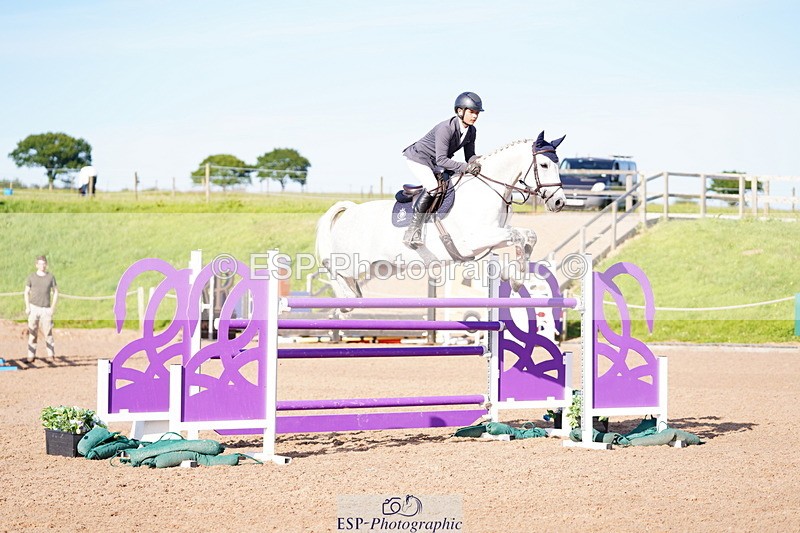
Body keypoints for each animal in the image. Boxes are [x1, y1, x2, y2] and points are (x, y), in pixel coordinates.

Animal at [316, 131, 567, 299]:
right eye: (544, 165)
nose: (559, 202)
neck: (487, 189)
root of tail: (350, 210)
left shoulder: (493, 235)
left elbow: (529, 235)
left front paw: (515, 278)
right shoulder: (475, 239)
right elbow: (517, 235)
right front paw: (514, 277)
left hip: (380, 266)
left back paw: (352, 296)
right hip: (354, 261)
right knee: (332, 268)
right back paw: (346, 300)